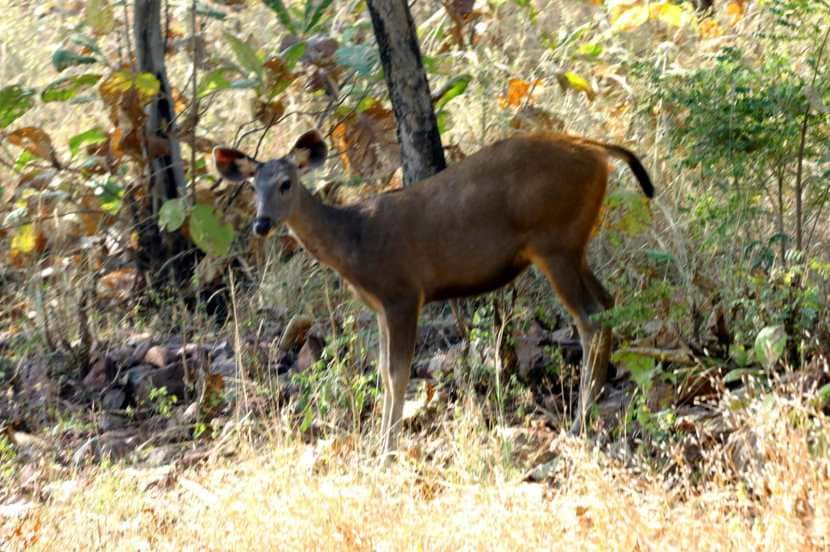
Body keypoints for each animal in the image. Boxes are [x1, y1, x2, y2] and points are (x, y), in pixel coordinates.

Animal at [216, 129, 656, 462]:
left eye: (286, 183)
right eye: (253, 187)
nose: (261, 224)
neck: (354, 242)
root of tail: (596, 151)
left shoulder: (403, 293)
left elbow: (397, 375)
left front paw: (386, 453)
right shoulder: (380, 306)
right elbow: (383, 372)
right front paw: (380, 446)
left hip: (554, 243)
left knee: (590, 319)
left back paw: (579, 423)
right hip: (573, 246)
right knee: (608, 305)